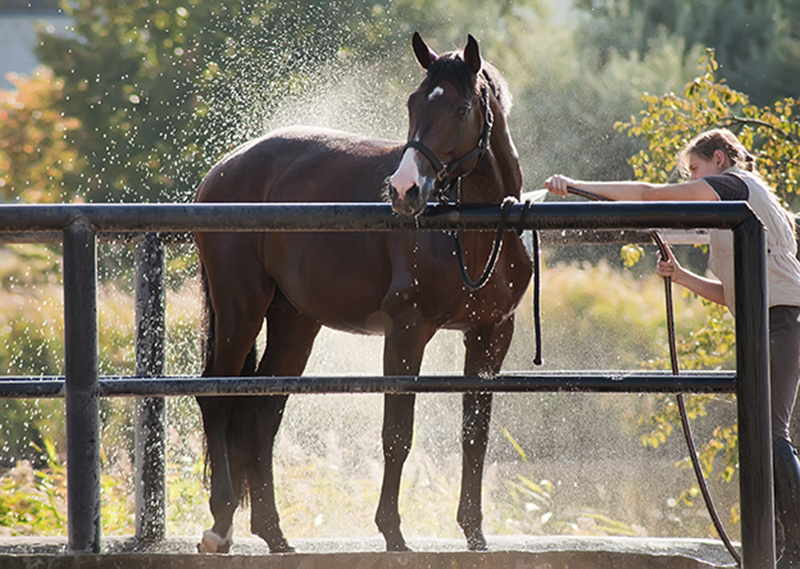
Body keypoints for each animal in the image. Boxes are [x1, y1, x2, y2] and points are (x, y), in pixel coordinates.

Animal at [193, 32, 532, 556]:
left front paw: (474, 533)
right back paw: (221, 524)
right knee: (217, 397)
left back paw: (274, 533)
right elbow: (397, 433)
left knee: (262, 410)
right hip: (240, 310)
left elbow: (474, 433)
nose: (404, 190)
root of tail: (224, 170)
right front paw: (392, 531)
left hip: (294, 322)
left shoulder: (491, 334)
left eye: (460, 109)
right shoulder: (407, 331)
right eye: (413, 102)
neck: (470, 231)